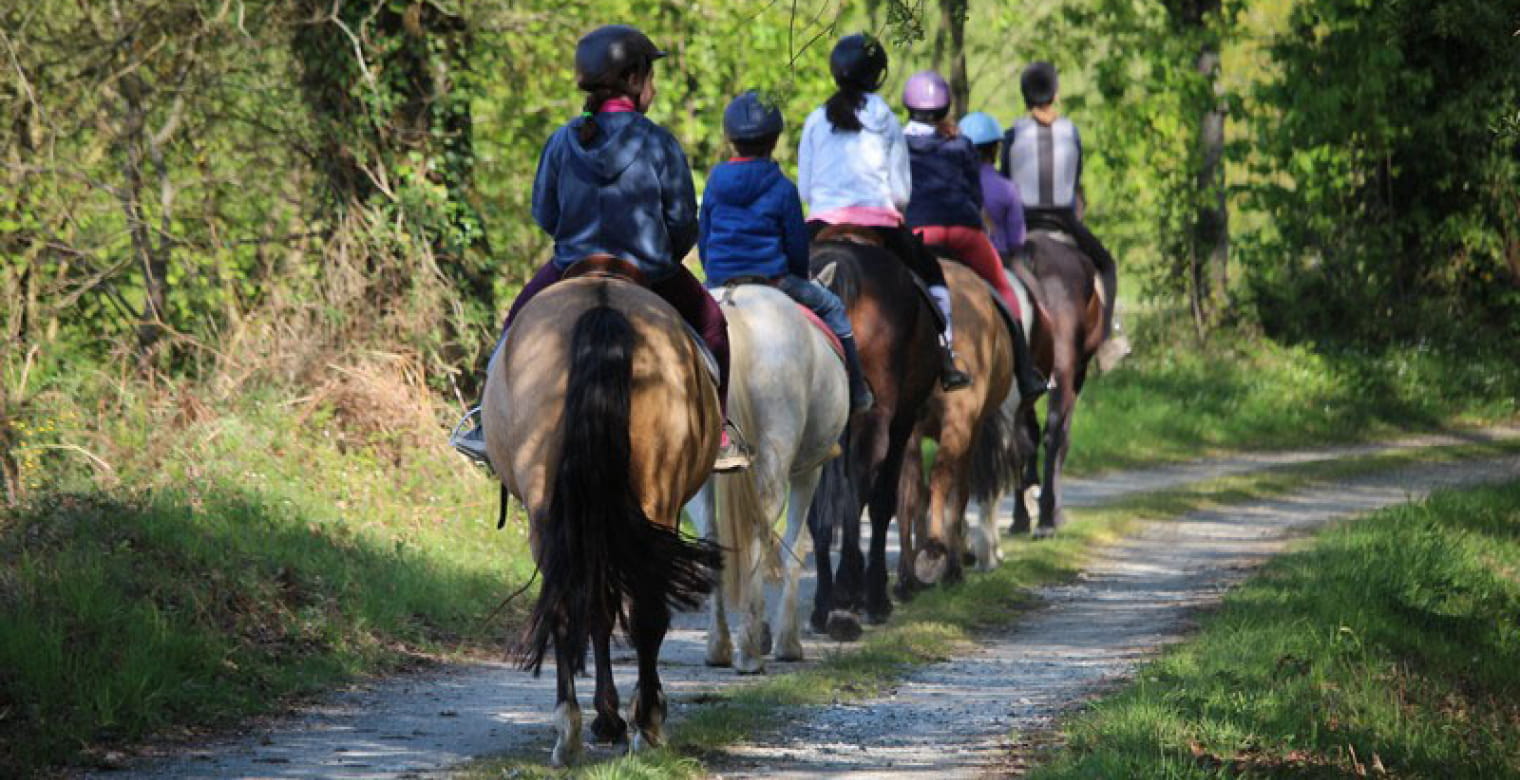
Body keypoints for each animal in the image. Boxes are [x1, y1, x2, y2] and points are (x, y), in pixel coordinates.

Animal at [483, 269, 726, 766]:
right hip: (649, 498)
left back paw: (572, 730)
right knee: (639, 611)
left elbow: (598, 608)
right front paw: (613, 717)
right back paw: (642, 724)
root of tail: (602, 300)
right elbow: (605, 608)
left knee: (572, 605)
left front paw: (609, 716)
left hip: (553, 511)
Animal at [684, 282, 851, 672]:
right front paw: (787, 642)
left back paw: (720, 646)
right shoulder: (809, 472)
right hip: (775, 460)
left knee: (713, 538)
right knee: (756, 534)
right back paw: (750, 650)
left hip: (702, 481)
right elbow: (796, 546)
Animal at [808, 237, 936, 638]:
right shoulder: (901, 422)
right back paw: (850, 597)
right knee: (863, 493)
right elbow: (880, 503)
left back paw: (826, 604)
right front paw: (873, 592)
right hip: (878, 419)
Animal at [899, 258, 1021, 586]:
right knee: (944, 479)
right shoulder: (969, 426)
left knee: (915, 483)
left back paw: (909, 573)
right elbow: (957, 487)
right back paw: (937, 555)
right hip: (960, 421)